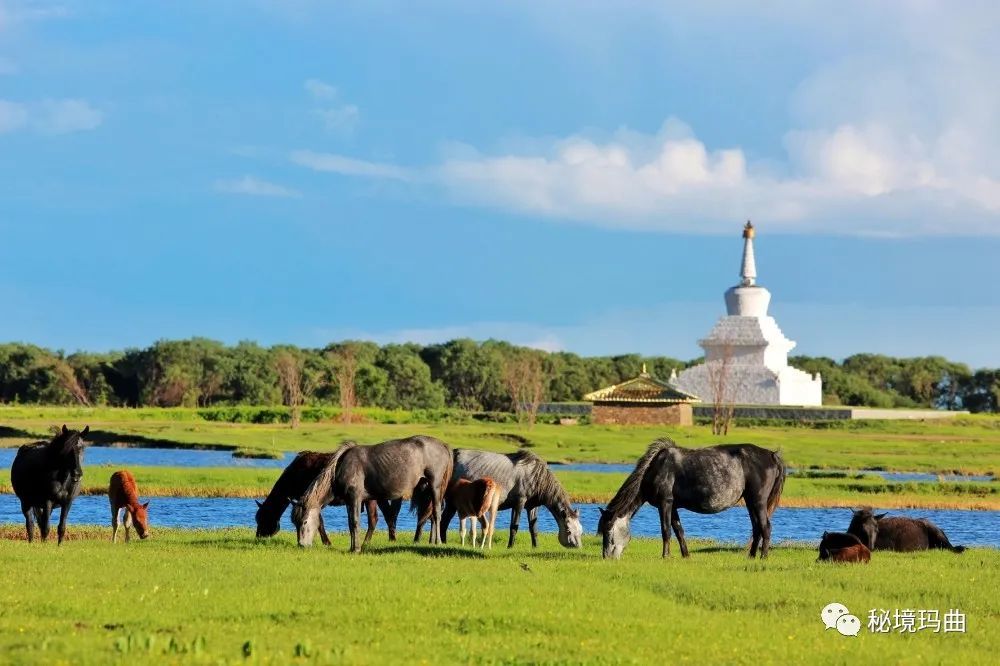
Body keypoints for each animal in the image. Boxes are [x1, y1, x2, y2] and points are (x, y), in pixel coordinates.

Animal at [254, 452, 402, 544]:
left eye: (263, 518)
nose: (258, 536)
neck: (293, 476)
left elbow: (319, 522)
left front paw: (326, 542)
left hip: (371, 498)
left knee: (374, 519)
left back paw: (367, 541)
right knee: (389, 515)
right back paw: (391, 538)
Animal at [416, 448, 584, 548]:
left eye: (581, 530)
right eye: (568, 530)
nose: (578, 546)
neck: (537, 476)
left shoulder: (532, 506)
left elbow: (533, 528)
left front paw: (535, 546)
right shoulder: (519, 502)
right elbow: (514, 526)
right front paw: (510, 546)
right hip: (451, 501)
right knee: (443, 521)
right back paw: (443, 542)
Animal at [596, 438, 784, 556]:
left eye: (609, 531)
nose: (607, 557)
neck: (655, 468)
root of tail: (772, 455)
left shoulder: (665, 503)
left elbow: (666, 530)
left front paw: (665, 556)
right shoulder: (673, 507)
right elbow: (679, 531)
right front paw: (685, 555)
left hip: (758, 501)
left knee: (765, 527)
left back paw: (763, 557)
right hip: (750, 501)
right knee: (757, 528)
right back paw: (751, 556)